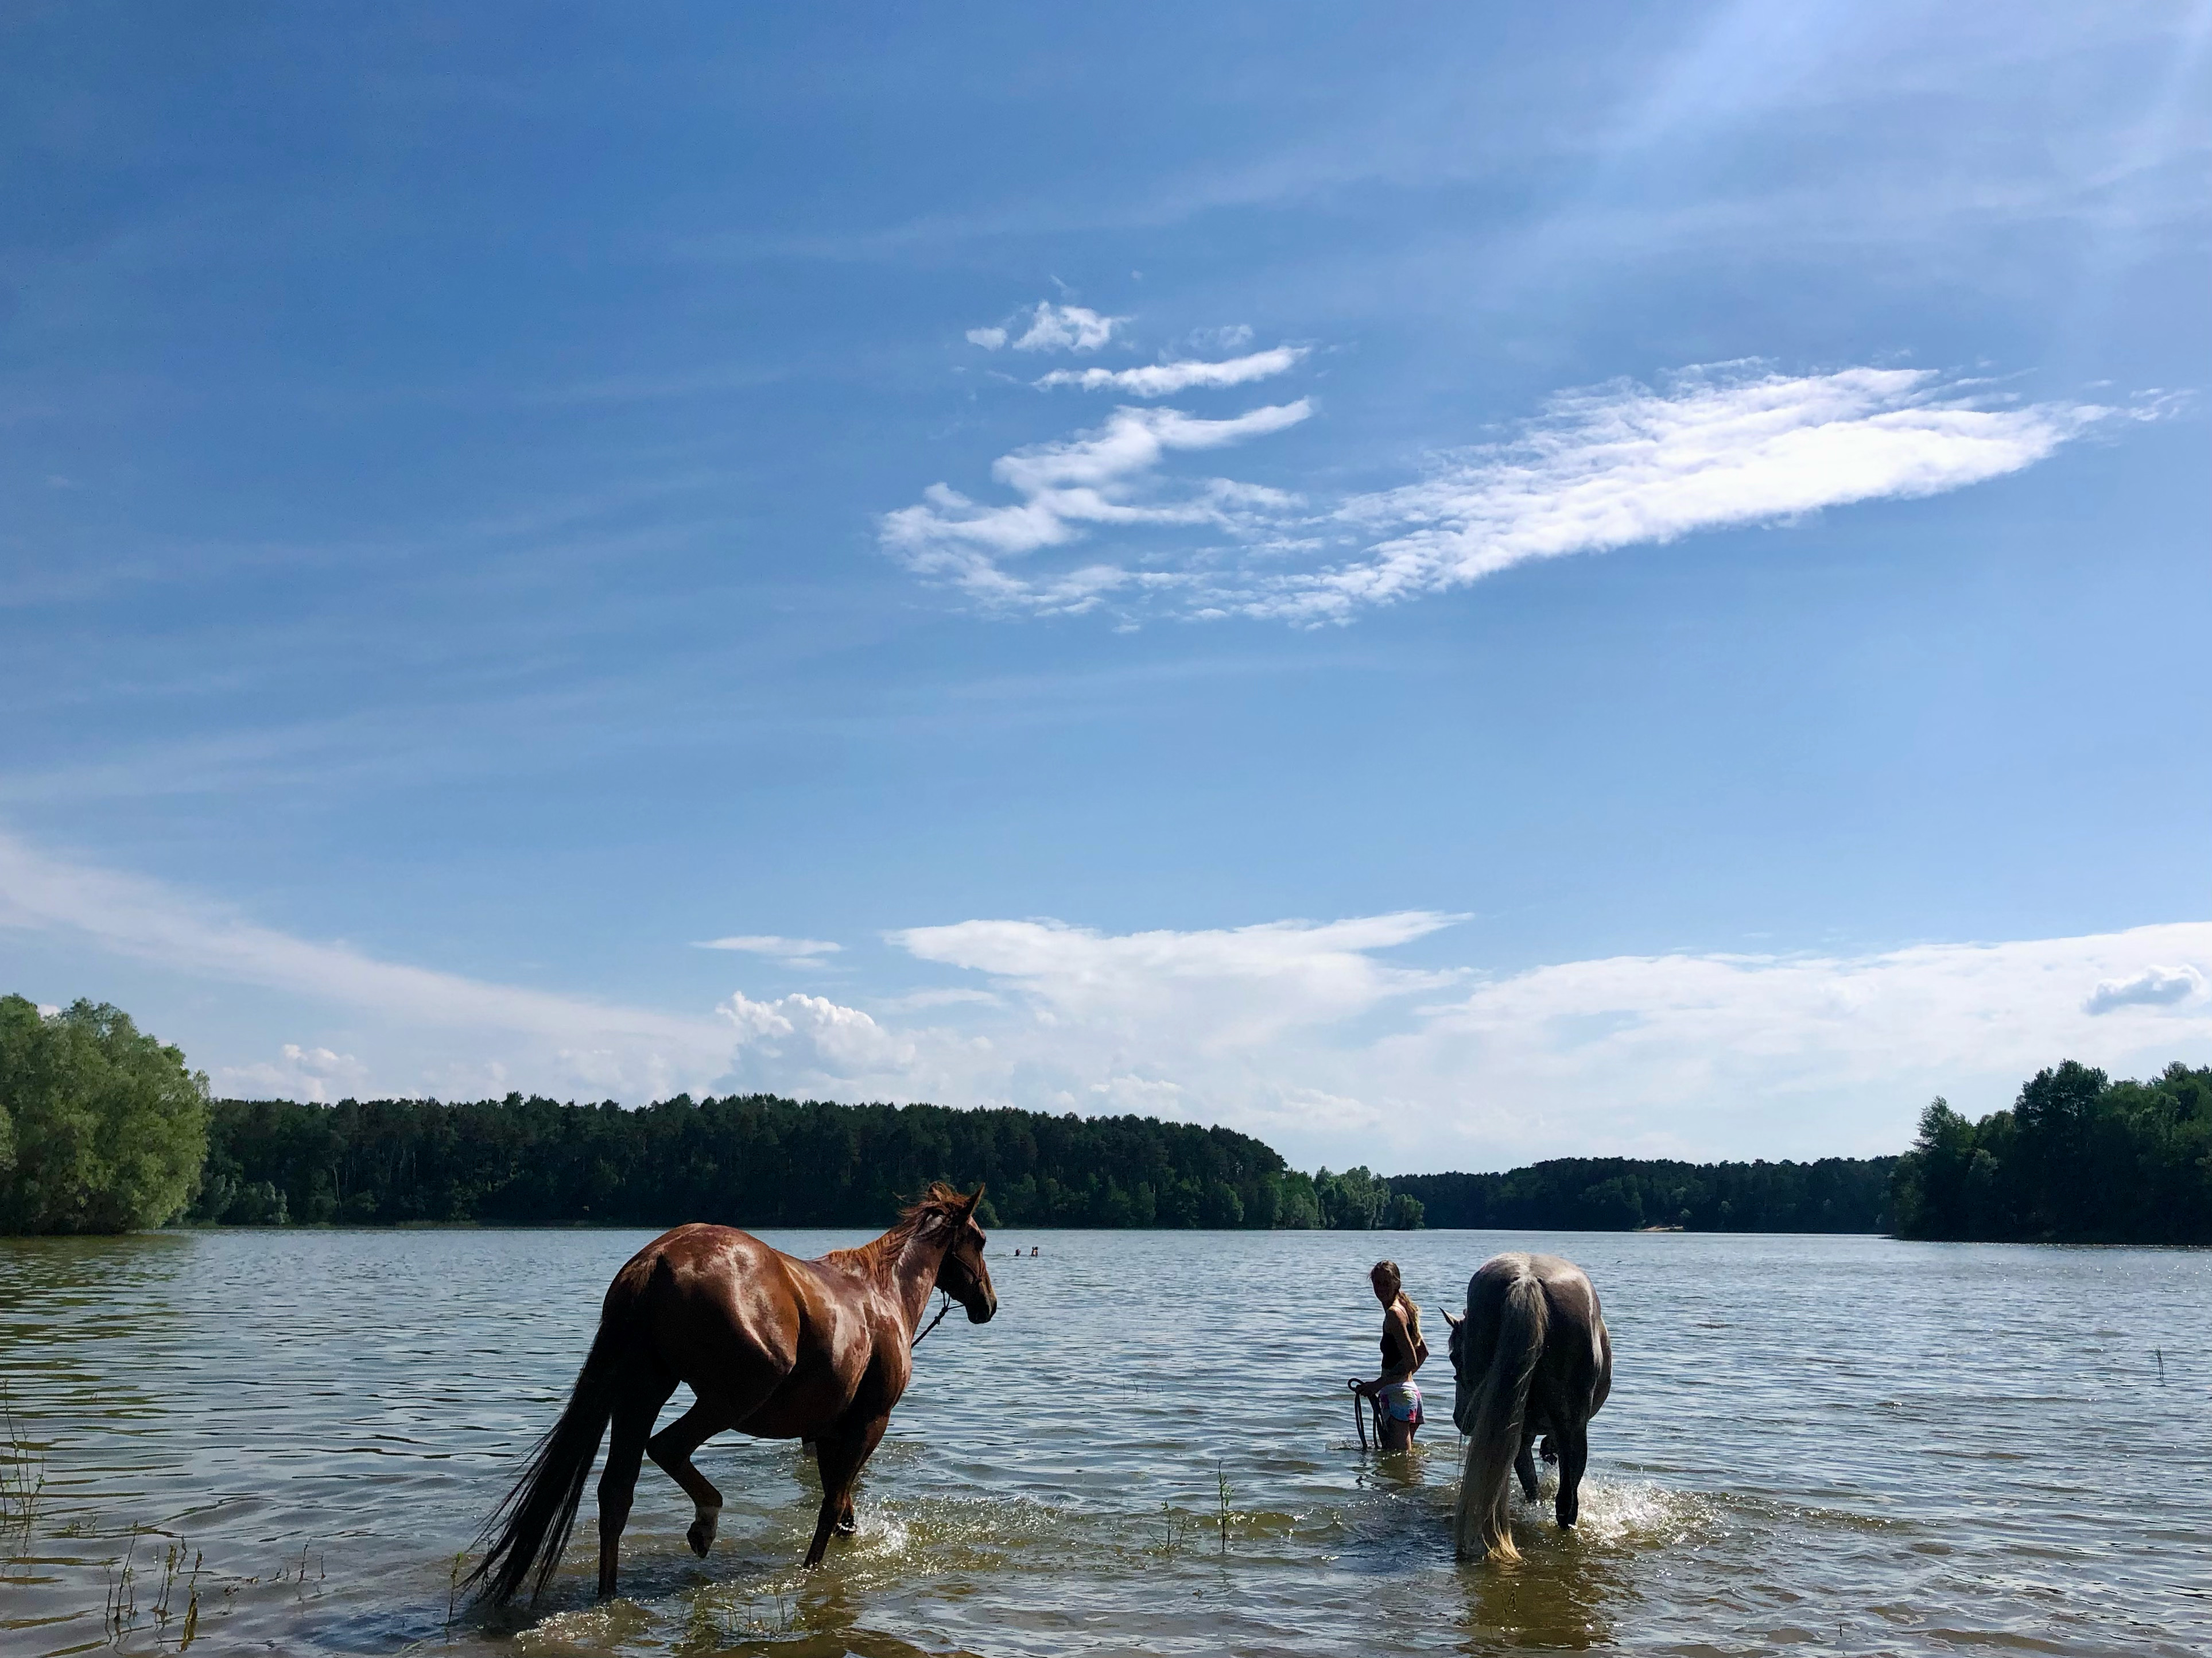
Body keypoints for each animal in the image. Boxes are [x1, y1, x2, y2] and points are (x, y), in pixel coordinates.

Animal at [464, 1182, 996, 1604]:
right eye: (981, 1239)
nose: (988, 1304)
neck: (882, 1294)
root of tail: (653, 1258)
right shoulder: (868, 1424)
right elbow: (831, 1508)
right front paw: (813, 1569)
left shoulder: (828, 1433)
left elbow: (841, 1504)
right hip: (739, 1392)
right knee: (667, 1447)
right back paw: (705, 1521)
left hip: (641, 1391)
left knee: (616, 1493)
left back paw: (609, 1594)